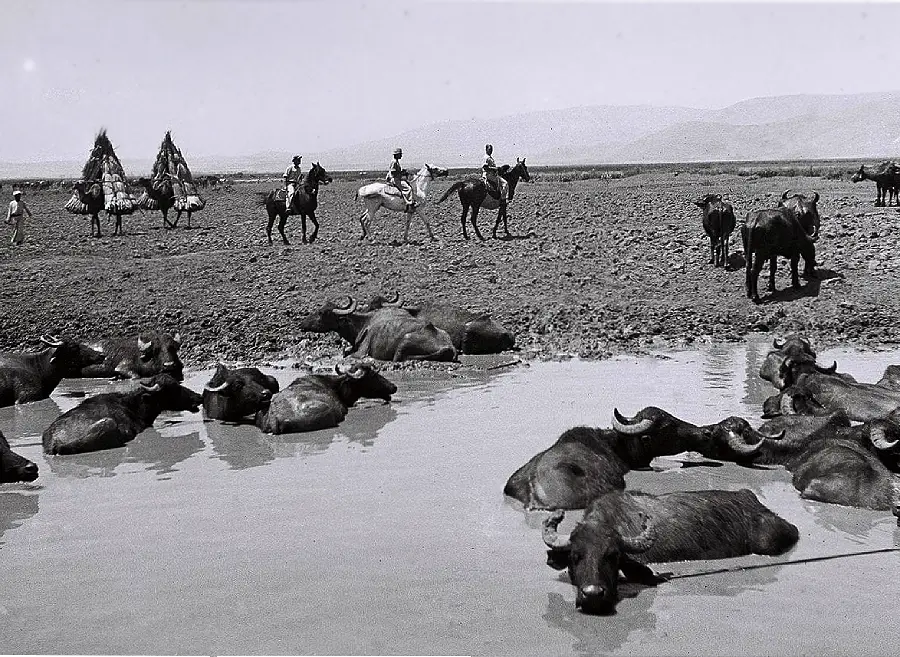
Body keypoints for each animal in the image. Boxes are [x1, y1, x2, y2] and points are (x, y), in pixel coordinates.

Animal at [298, 297, 457, 362]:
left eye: (322, 313)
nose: (302, 324)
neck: (363, 322)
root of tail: (447, 346)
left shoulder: (360, 353)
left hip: (404, 343)